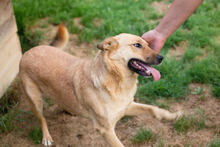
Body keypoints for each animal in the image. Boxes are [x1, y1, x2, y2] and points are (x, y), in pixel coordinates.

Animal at [18, 24, 181, 146]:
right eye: (137, 45)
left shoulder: (127, 106)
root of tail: (31, 50)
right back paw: (46, 137)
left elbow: (153, 109)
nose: (161, 57)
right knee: (42, 118)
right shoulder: (106, 130)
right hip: (35, 100)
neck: (116, 82)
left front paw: (171, 115)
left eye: (148, 44)